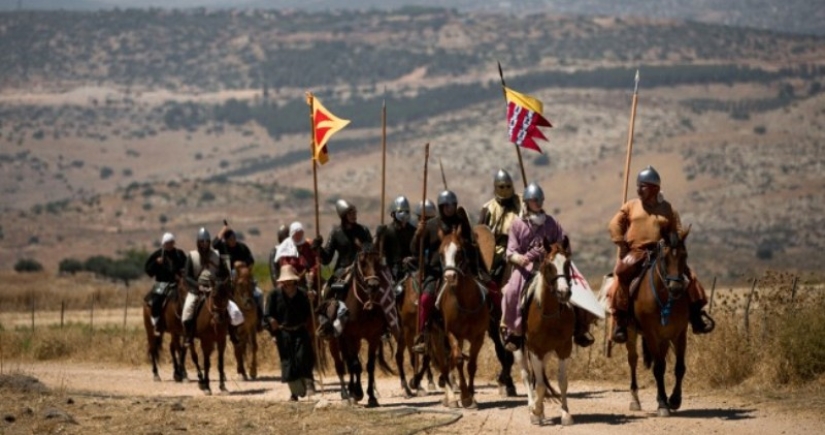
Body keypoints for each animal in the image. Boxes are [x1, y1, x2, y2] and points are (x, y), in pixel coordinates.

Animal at [189, 255, 232, 396]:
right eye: (213, 296)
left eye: (227, 296)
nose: (220, 318)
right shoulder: (205, 341)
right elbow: (206, 363)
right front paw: (207, 386)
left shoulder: (221, 340)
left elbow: (220, 362)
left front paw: (223, 386)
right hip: (190, 339)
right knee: (195, 358)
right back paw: (201, 382)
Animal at [314, 242, 394, 408]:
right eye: (362, 262)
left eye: (378, 262)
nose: (373, 285)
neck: (363, 305)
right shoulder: (350, 337)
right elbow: (355, 364)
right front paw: (357, 393)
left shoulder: (373, 337)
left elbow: (369, 365)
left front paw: (371, 397)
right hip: (334, 341)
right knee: (341, 365)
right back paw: (346, 394)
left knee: (350, 363)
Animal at [424, 208, 490, 408]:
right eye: (440, 254)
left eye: (460, 251)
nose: (450, 277)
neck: (466, 302)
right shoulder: (451, 333)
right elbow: (458, 360)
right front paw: (465, 396)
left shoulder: (478, 336)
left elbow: (471, 364)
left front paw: (471, 396)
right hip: (437, 334)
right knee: (445, 362)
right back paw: (451, 398)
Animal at [516, 237, 572, 428]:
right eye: (549, 265)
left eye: (568, 263)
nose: (564, 293)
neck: (549, 315)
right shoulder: (535, 350)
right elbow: (539, 385)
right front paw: (536, 410)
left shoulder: (564, 349)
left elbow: (562, 382)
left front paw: (565, 415)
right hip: (520, 350)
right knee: (527, 376)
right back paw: (532, 408)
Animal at [628, 228, 692, 416]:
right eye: (664, 258)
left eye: (685, 255)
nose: (676, 288)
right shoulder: (651, 334)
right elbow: (658, 368)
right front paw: (663, 404)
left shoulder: (680, 333)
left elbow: (679, 367)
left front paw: (675, 400)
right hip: (632, 332)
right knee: (633, 360)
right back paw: (635, 399)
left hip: (664, 338)